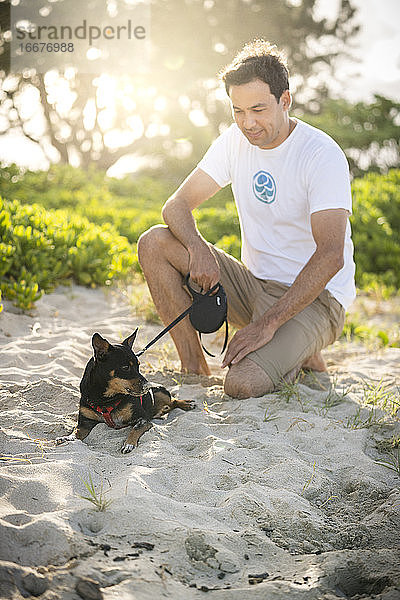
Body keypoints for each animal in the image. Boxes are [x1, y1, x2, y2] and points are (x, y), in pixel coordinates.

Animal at [57, 330, 195, 452]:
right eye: (125, 367)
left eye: (138, 365)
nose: (148, 386)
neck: (105, 399)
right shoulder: (84, 423)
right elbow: (76, 431)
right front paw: (67, 437)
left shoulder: (143, 419)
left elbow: (135, 429)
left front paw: (129, 444)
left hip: (161, 392)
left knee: (173, 400)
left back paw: (187, 404)